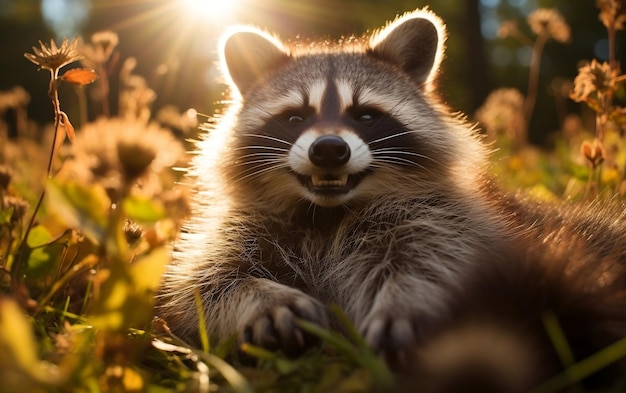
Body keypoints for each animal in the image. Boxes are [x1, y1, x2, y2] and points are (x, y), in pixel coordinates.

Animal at [156, 6, 624, 388]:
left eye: (366, 115)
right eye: (294, 117)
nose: (329, 149)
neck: (327, 214)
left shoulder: (447, 218)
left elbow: (437, 257)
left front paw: (408, 302)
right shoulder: (241, 227)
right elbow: (204, 282)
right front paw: (261, 298)